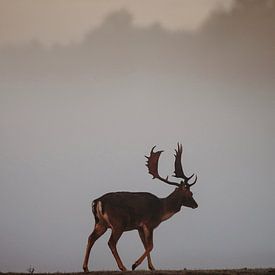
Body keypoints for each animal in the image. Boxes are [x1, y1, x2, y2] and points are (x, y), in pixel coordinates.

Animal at [82, 143, 198, 272]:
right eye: (190, 193)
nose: (196, 205)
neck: (162, 209)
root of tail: (98, 201)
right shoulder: (149, 223)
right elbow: (151, 245)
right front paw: (135, 264)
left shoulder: (139, 227)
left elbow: (145, 245)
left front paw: (152, 267)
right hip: (118, 223)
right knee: (111, 242)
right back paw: (123, 267)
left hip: (101, 223)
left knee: (91, 238)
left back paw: (85, 267)